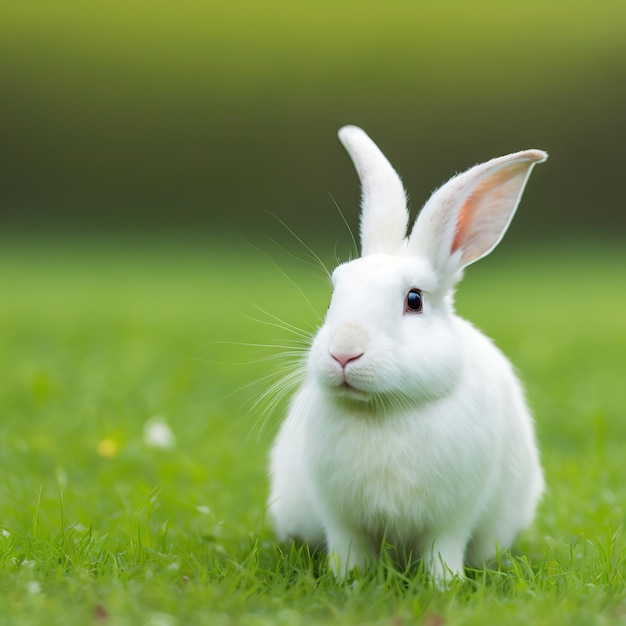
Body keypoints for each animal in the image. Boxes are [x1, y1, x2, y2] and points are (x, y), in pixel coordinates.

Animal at [266, 124, 544, 584]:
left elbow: (442, 550)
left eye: (414, 300)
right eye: (334, 295)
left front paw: (444, 586)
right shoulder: (341, 518)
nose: (344, 353)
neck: (384, 409)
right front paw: (347, 581)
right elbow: (349, 550)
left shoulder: (451, 519)